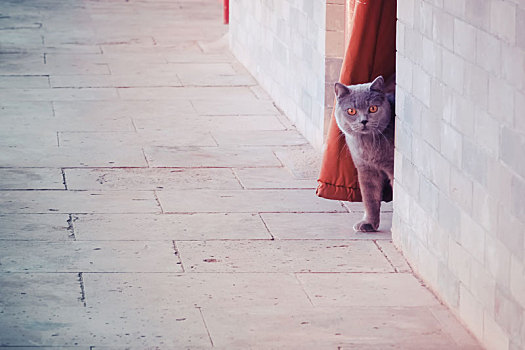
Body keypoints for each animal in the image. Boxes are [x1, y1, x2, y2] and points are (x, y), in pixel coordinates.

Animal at [336, 75, 392, 231]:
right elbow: (370, 197)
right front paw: (368, 224)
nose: (364, 121)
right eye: (351, 111)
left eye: (373, 108)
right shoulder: (366, 169)